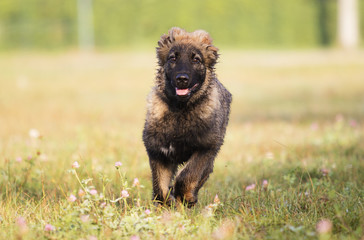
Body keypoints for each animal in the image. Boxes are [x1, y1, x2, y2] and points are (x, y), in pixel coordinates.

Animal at [143, 26, 232, 206]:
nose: (182, 79)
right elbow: (160, 188)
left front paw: (185, 196)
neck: (180, 110)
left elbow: (188, 175)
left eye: (196, 60)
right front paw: (169, 202)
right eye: (172, 58)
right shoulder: (159, 153)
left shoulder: (206, 148)